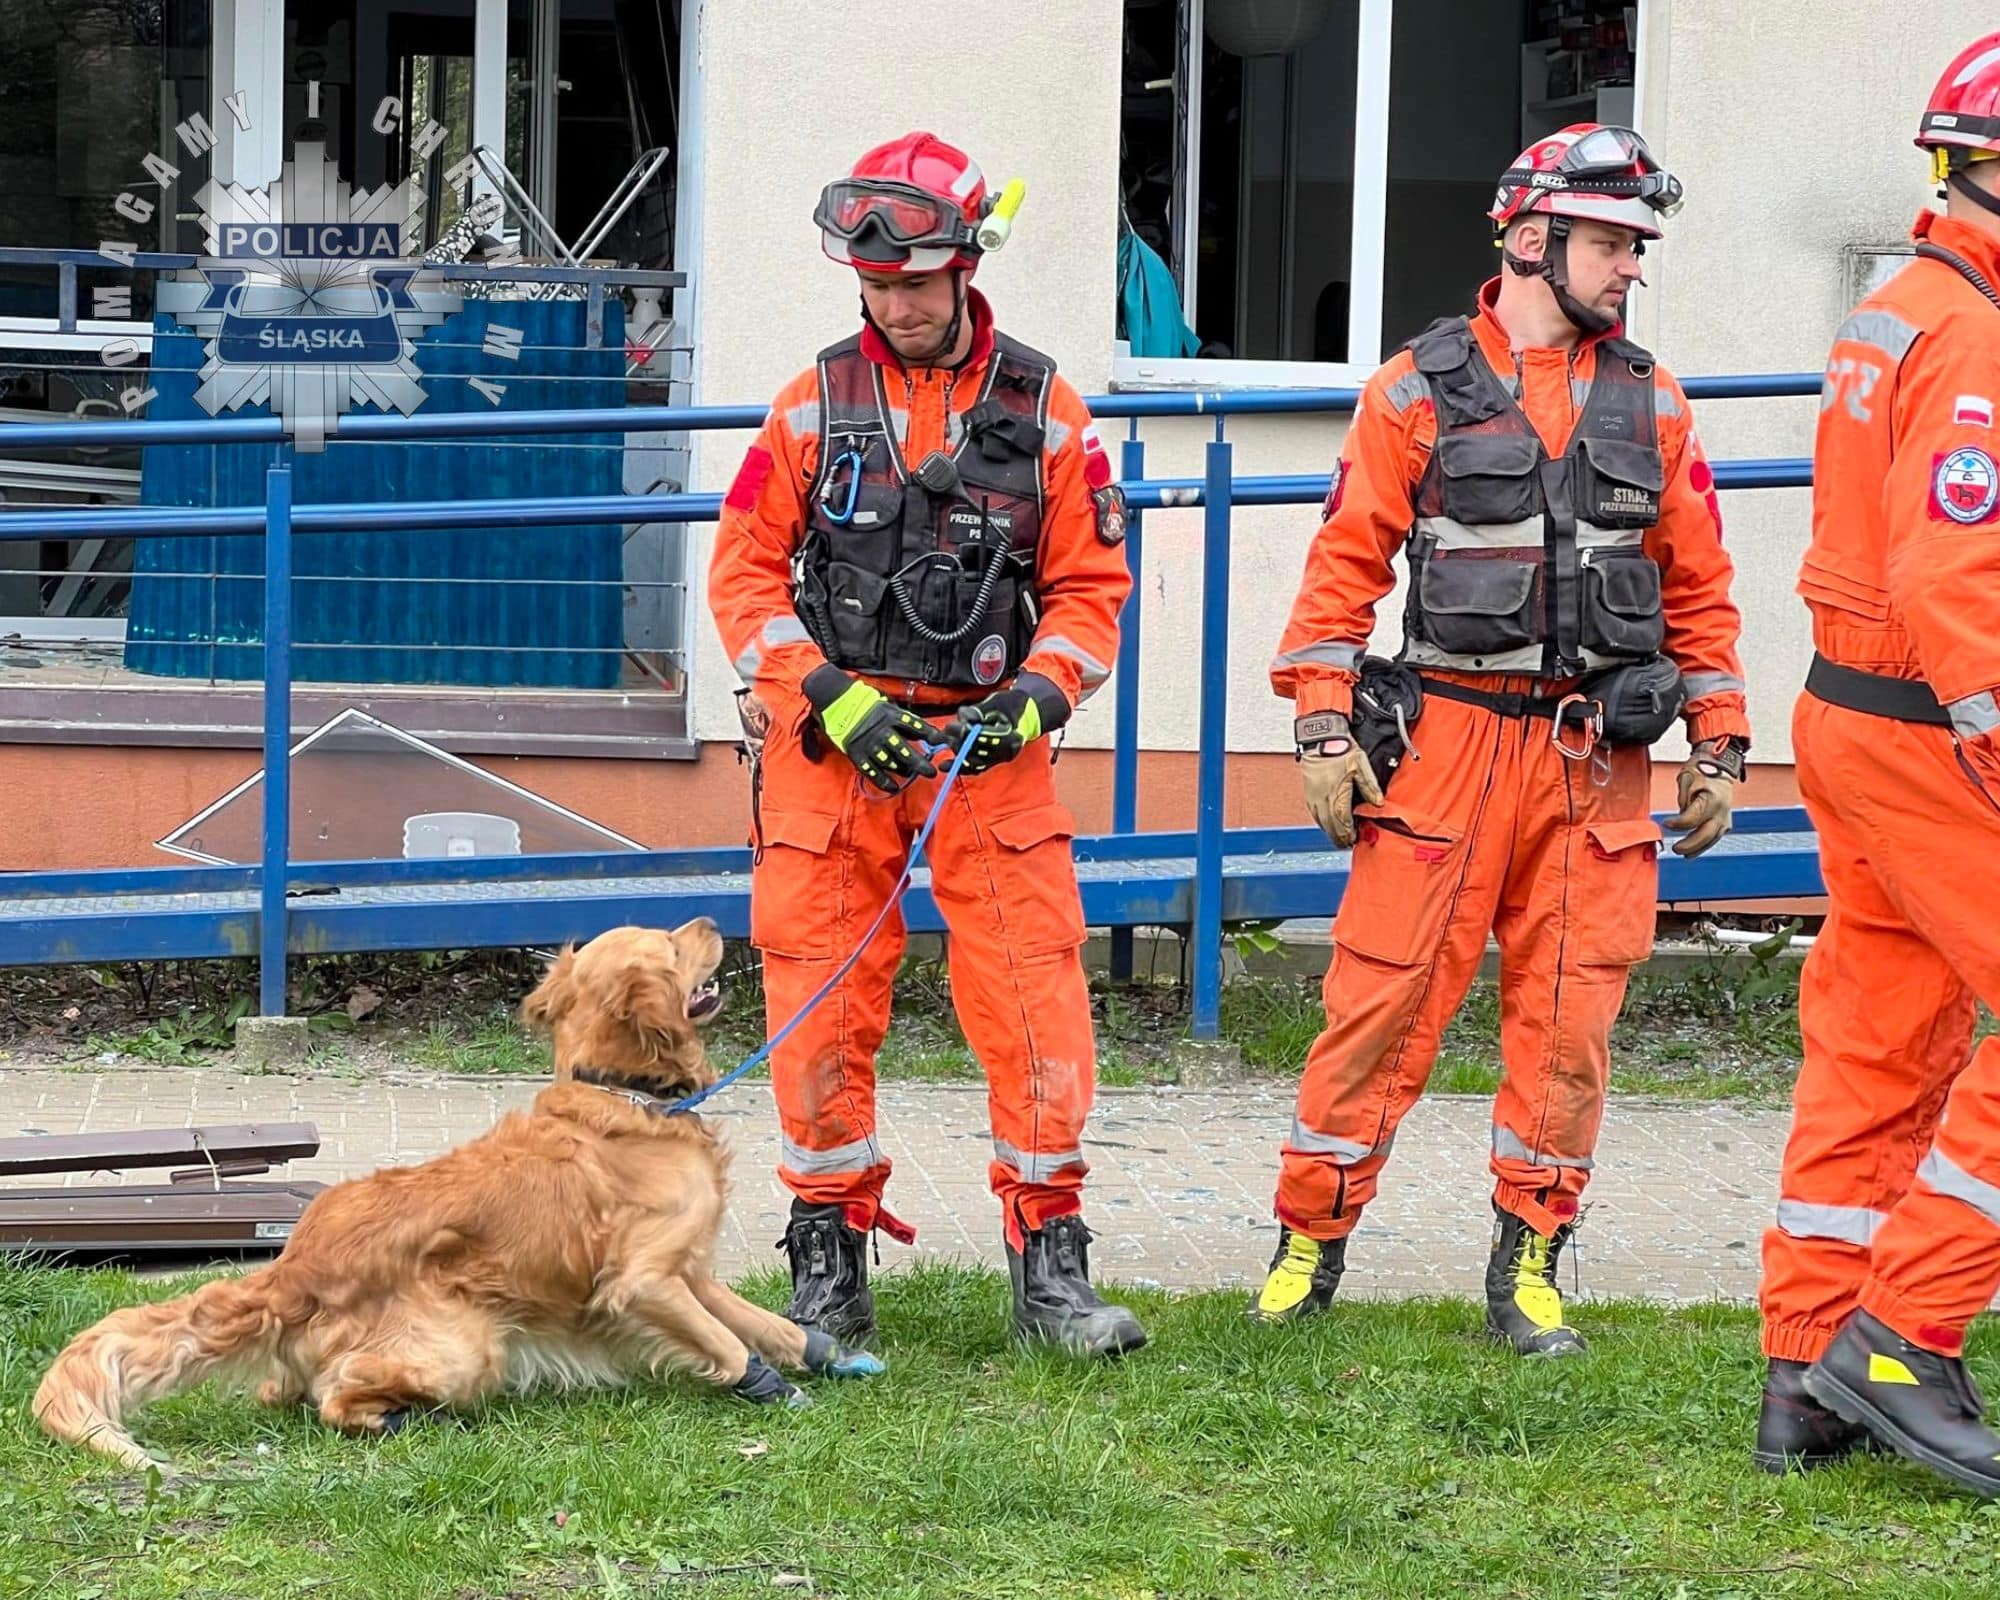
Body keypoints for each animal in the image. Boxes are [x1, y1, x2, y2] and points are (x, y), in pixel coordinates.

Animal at [35, 920, 880, 1472]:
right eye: (673, 944)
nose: (710, 919)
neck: (625, 1096)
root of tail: (296, 1266)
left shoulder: (690, 1270)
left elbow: (763, 1324)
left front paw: (827, 1355)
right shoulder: (644, 1282)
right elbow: (730, 1346)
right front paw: (773, 1391)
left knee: (283, 1388)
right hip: (471, 1348)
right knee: (334, 1397)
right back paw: (397, 1420)